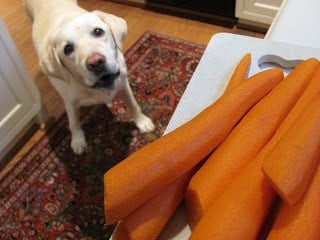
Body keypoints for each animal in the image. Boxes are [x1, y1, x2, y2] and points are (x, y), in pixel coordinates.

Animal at [23, 0, 154, 154]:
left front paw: (142, 121)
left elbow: (133, 104)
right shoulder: (70, 102)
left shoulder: (123, 83)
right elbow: (73, 123)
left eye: (98, 31)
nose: (96, 62)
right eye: (67, 49)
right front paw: (77, 141)